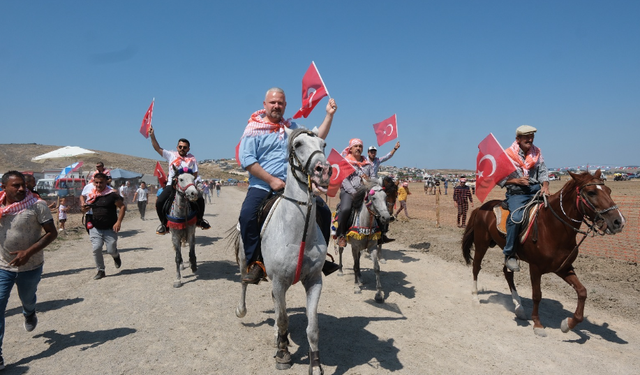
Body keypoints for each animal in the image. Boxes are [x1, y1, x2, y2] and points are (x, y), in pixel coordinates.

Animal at [231, 128, 330, 374]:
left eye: (323, 144)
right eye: (298, 144)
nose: (324, 171)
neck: (298, 232)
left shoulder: (314, 281)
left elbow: (312, 327)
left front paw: (315, 364)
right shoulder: (278, 280)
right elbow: (284, 319)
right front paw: (283, 354)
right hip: (244, 260)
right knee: (243, 282)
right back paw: (241, 310)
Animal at [462, 170, 628, 338]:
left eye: (609, 191)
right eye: (591, 192)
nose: (618, 222)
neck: (552, 227)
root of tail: (482, 208)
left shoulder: (564, 267)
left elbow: (582, 292)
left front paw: (567, 324)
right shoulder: (535, 268)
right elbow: (537, 295)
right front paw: (538, 324)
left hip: (509, 254)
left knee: (507, 273)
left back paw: (519, 308)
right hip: (481, 245)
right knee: (476, 267)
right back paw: (475, 298)